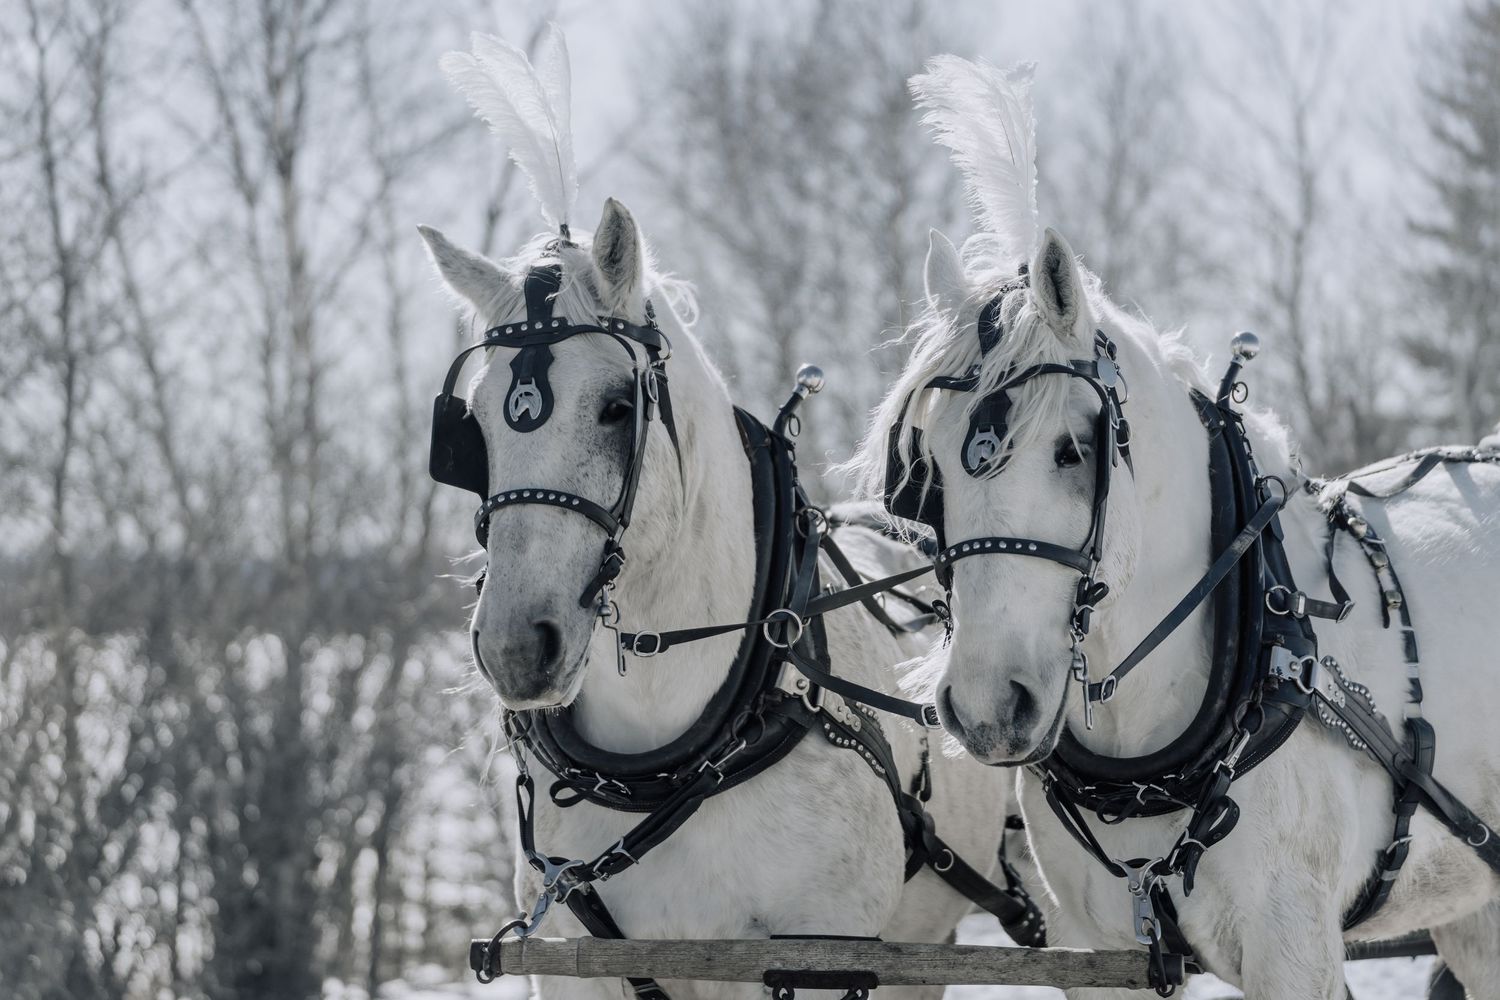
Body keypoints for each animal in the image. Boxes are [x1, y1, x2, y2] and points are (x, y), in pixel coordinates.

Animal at [421, 30, 1020, 1000]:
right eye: (471, 428)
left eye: (616, 407)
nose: (515, 646)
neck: (673, 750)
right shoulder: (579, 965)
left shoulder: (819, 957)